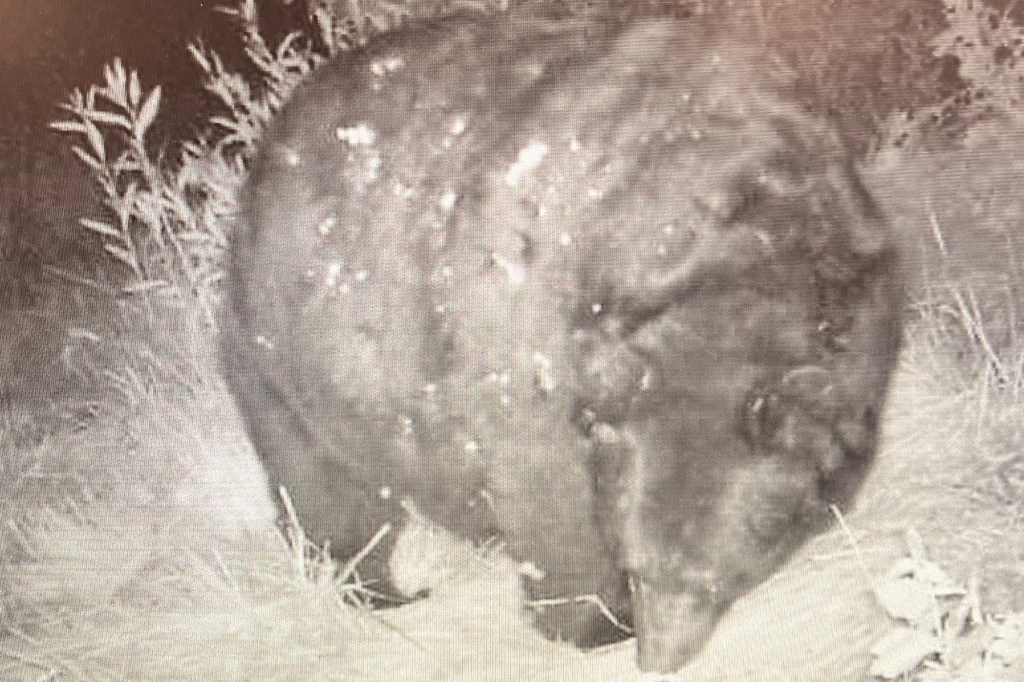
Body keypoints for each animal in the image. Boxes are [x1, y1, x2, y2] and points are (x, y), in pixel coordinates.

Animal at [222, 9, 905, 667]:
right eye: (639, 568)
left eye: (709, 580)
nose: (657, 657)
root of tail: (271, 145)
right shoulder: (532, 345)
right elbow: (551, 501)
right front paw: (593, 622)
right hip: (289, 351)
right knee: (326, 485)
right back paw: (378, 588)